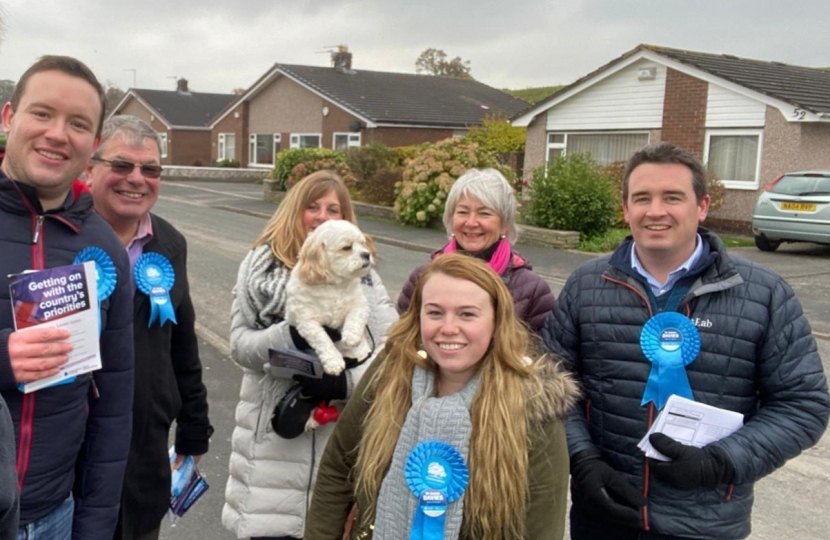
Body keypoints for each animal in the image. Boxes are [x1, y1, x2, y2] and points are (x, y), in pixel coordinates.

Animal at [290, 218, 374, 376]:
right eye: (346, 247)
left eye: (362, 243)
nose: (367, 254)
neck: (334, 285)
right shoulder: (306, 321)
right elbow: (323, 340)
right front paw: (334, 362)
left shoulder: (360, 303)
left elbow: (355, 317)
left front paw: (351, 336)